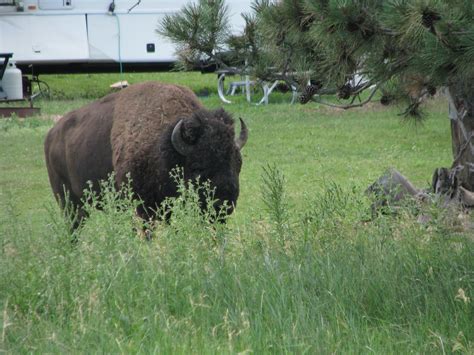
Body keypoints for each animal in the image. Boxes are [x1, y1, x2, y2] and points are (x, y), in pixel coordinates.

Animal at [45, 82, 248, 228]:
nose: (225, 202)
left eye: (238, 164)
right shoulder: (142, 209)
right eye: (198, 167)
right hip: (68, 202)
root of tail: (51, 134)